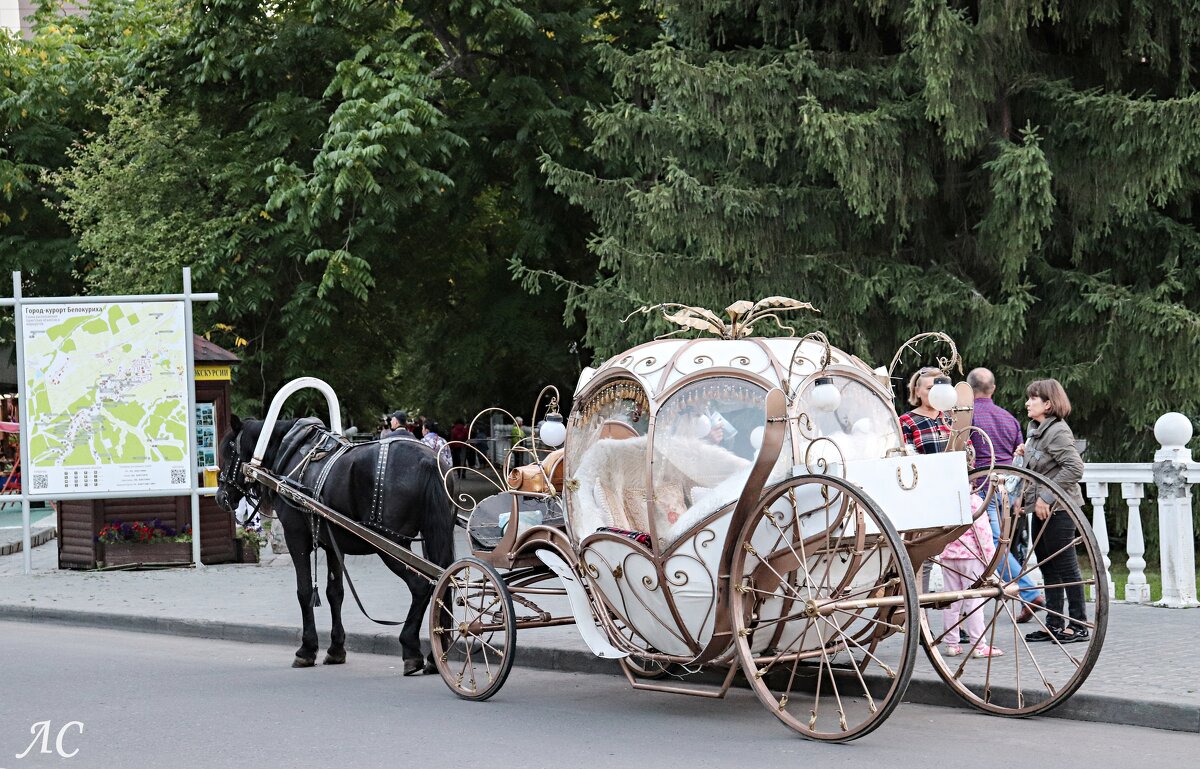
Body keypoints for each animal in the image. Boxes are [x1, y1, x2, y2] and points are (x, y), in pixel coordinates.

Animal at [216, 417, 453, 676]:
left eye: (230, 450)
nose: (220, 496)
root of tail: (428, 460)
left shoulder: (295, 538)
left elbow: (304, 592)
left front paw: (307, 650)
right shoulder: (332, 544)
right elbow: (335, 593)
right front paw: (336, 649)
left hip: (392, 546)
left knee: (422, 586)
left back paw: (411, 649)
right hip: (432, 536)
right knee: (444, 582)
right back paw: (435, 656)